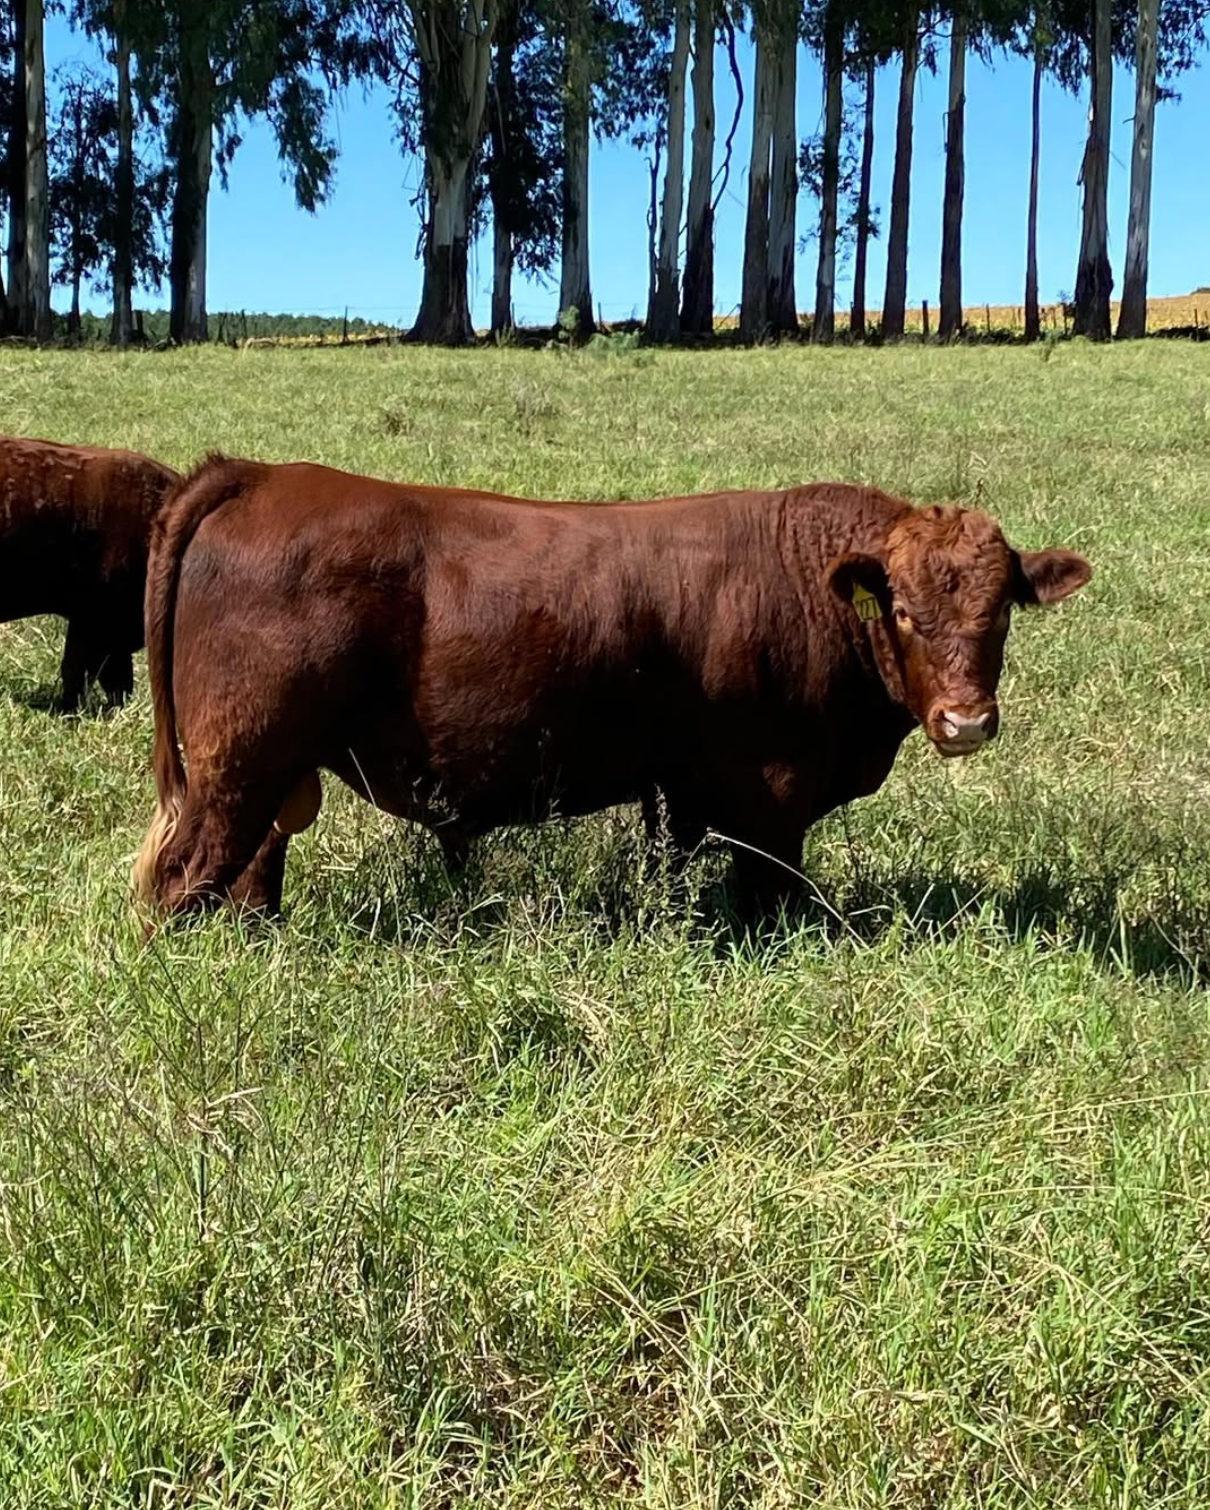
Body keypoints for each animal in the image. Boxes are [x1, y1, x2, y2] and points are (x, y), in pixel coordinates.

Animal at [132, 455, 1092, 922]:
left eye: (1000, 611)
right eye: (900, 609)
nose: (966, 720)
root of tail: (259, 474)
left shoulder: (678, 793)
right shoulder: (772, 795)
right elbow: (773, 896)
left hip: (266, 774)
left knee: (251, 868)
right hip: (235, 766)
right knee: (181, 879)